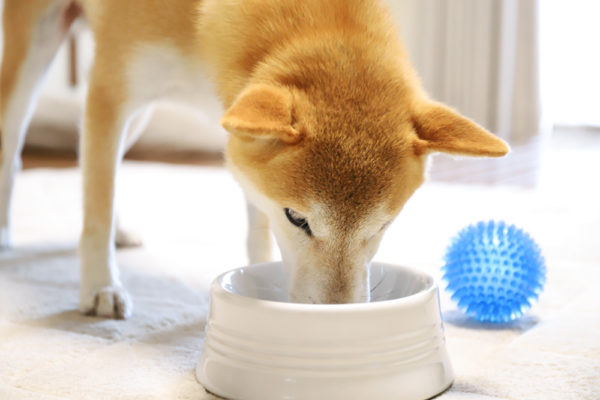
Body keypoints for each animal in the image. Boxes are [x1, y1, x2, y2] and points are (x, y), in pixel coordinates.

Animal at [0, 0, 508, 318]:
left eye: (383, 226)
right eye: (298, 219)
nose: (339, 316)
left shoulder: (239, 130)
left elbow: (255, 231)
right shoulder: (111, 91)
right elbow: (96, 213)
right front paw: (101, 288)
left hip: (141, 117)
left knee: (109, 168)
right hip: (37, 59)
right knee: (20, 153)